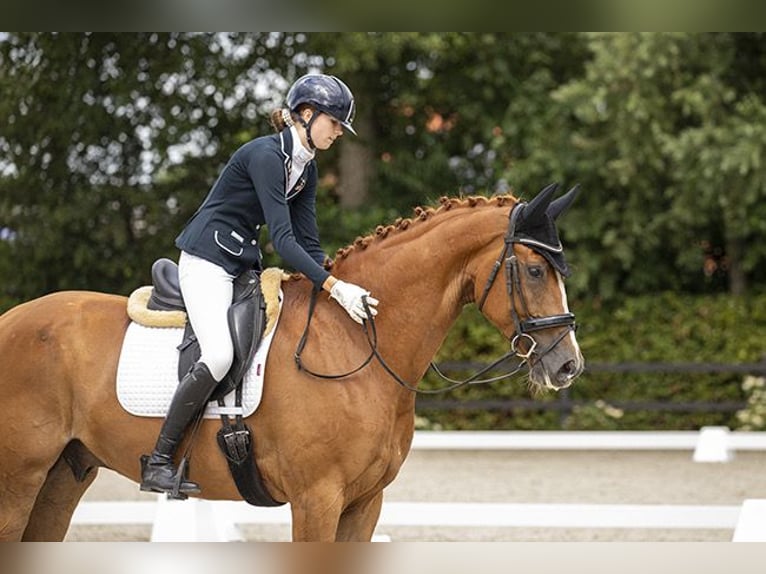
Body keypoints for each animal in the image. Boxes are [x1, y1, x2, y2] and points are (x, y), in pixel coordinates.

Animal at [0, 183, 584, 542]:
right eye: (535, 270)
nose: (568, 366)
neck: (357, 344)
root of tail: (12, 318)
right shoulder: (316, 499)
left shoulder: (364, 503)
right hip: (19, 479)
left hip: (64, 477)